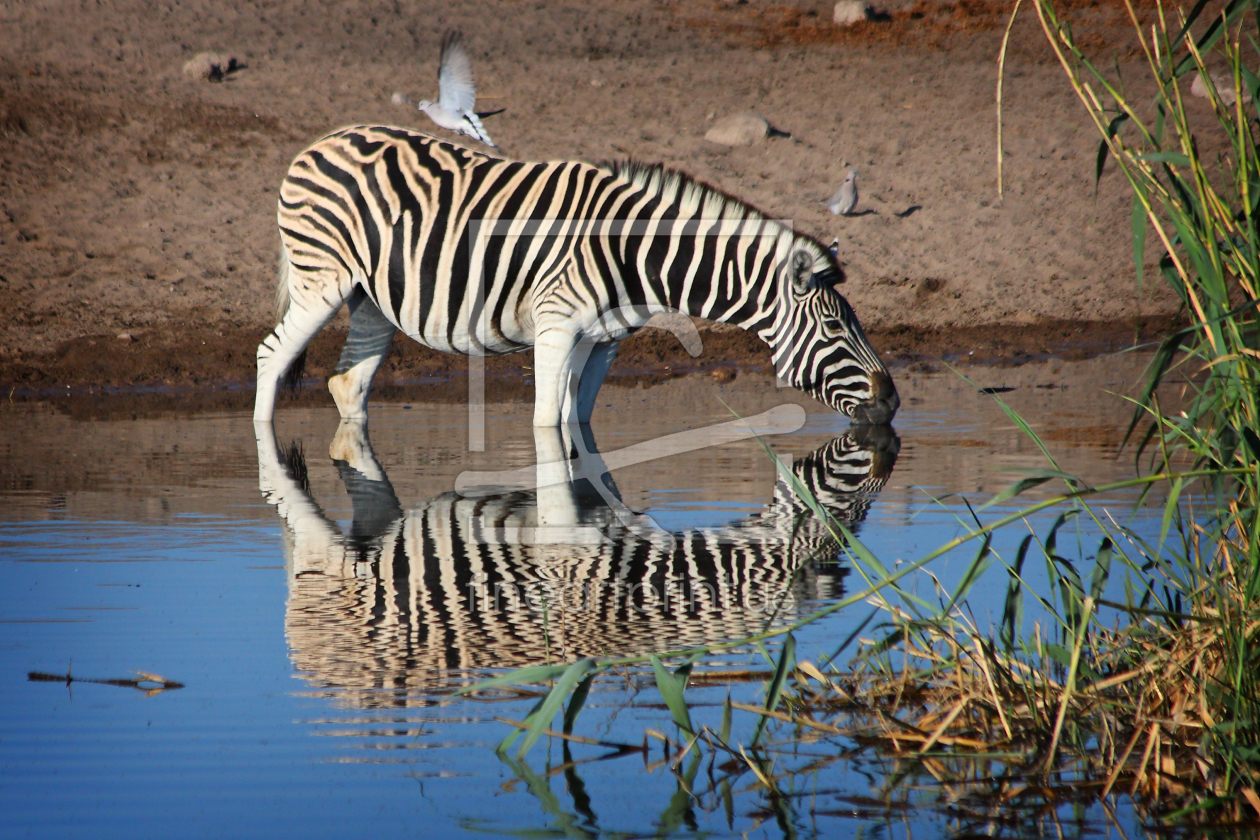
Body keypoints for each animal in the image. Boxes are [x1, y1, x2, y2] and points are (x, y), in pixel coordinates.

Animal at [253, 126, 897, 428]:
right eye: (836, 330)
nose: (891, 403)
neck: (634, 253)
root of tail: (319, 143)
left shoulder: (603, 342)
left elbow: (574, 422)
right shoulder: (557, 327)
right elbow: (547, 422)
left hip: (371, 298)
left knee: (347, 383)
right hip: (321, 281)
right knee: (270, 356)